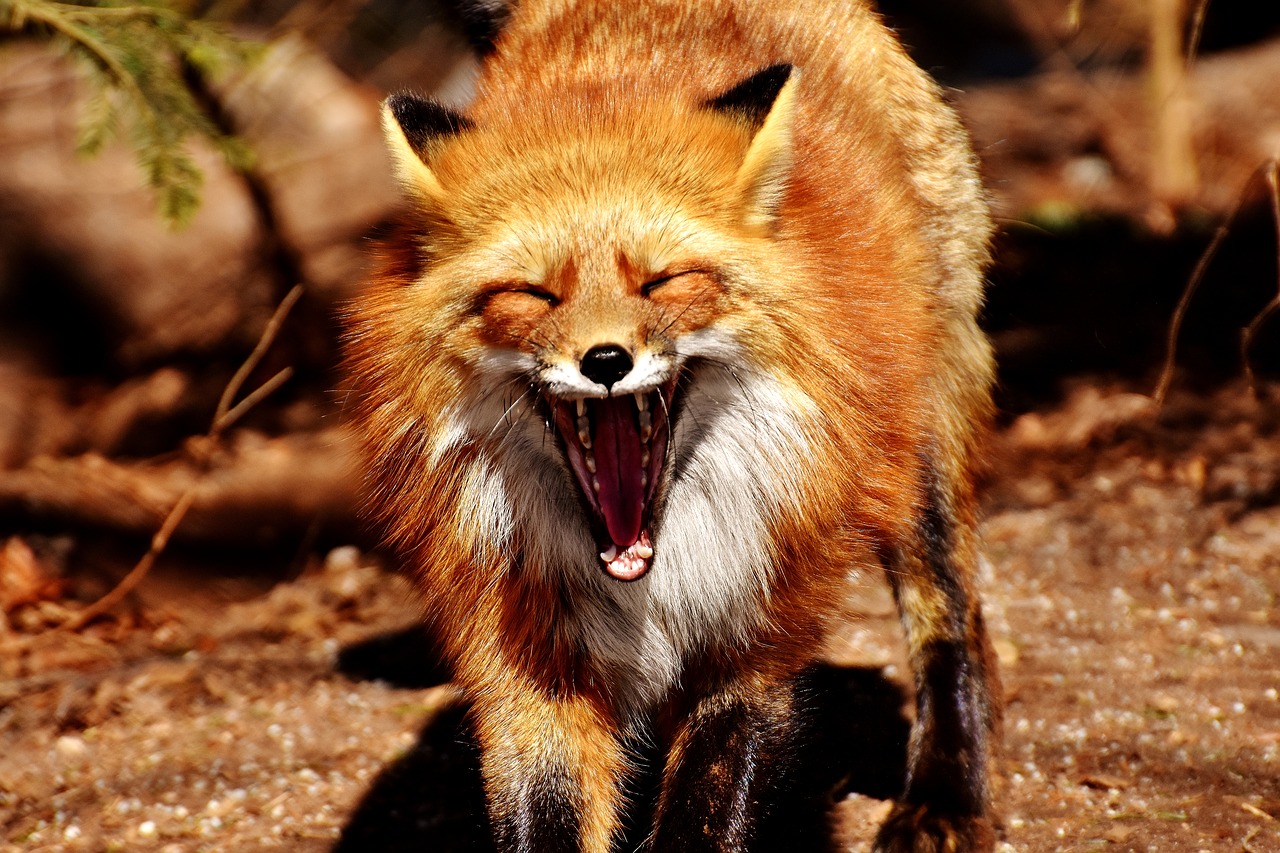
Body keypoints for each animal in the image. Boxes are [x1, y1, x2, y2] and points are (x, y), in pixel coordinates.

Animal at [345, 0, 1003, 845]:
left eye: (662, 281)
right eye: (533, 294)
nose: (604, 360)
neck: (654, 565)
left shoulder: (759, 625)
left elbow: (709, 799)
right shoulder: (524, 649)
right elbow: (547, 806)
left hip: (915, 452)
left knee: (956, 620)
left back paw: (945, 796)